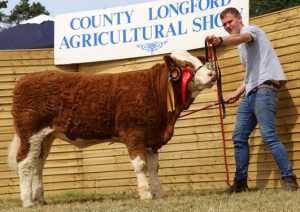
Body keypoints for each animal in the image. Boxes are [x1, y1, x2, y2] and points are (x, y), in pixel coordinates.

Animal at [7, 48, 216, 206]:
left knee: (37, 164)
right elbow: (141, 165)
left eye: (197, 60)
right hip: (30, 132)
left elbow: (154, 167)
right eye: (186, 66)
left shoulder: (151, 138)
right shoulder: (134, 134)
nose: (212, 74)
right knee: (25, 163)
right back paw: (28, 202)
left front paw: (159, 194)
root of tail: (24, 80)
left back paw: (40, 199)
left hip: (45, 137)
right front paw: (146, 195)